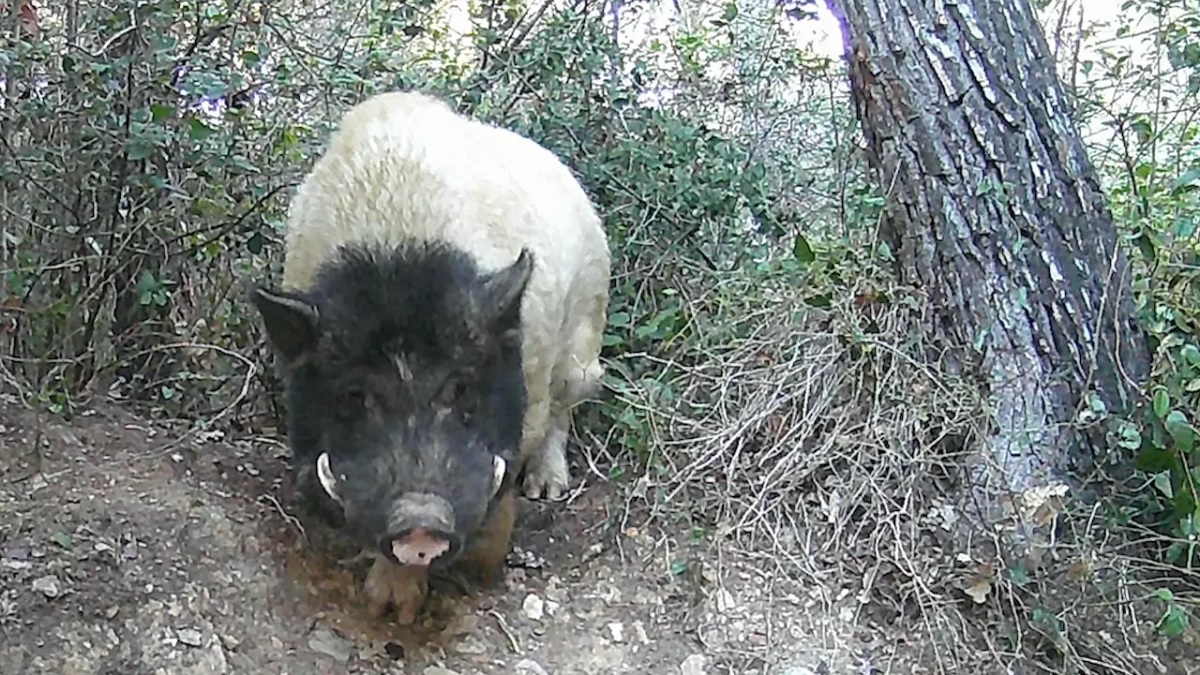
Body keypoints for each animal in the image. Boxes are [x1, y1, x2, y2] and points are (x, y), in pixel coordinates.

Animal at [250, 90, 609, 624]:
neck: (398, 251)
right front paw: (385, 608)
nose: (421, 519)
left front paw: (480, 569)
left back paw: (546, 489)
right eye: (354, 396)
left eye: (460, 387)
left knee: (568, 402)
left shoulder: (532, 374)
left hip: (588, 330)